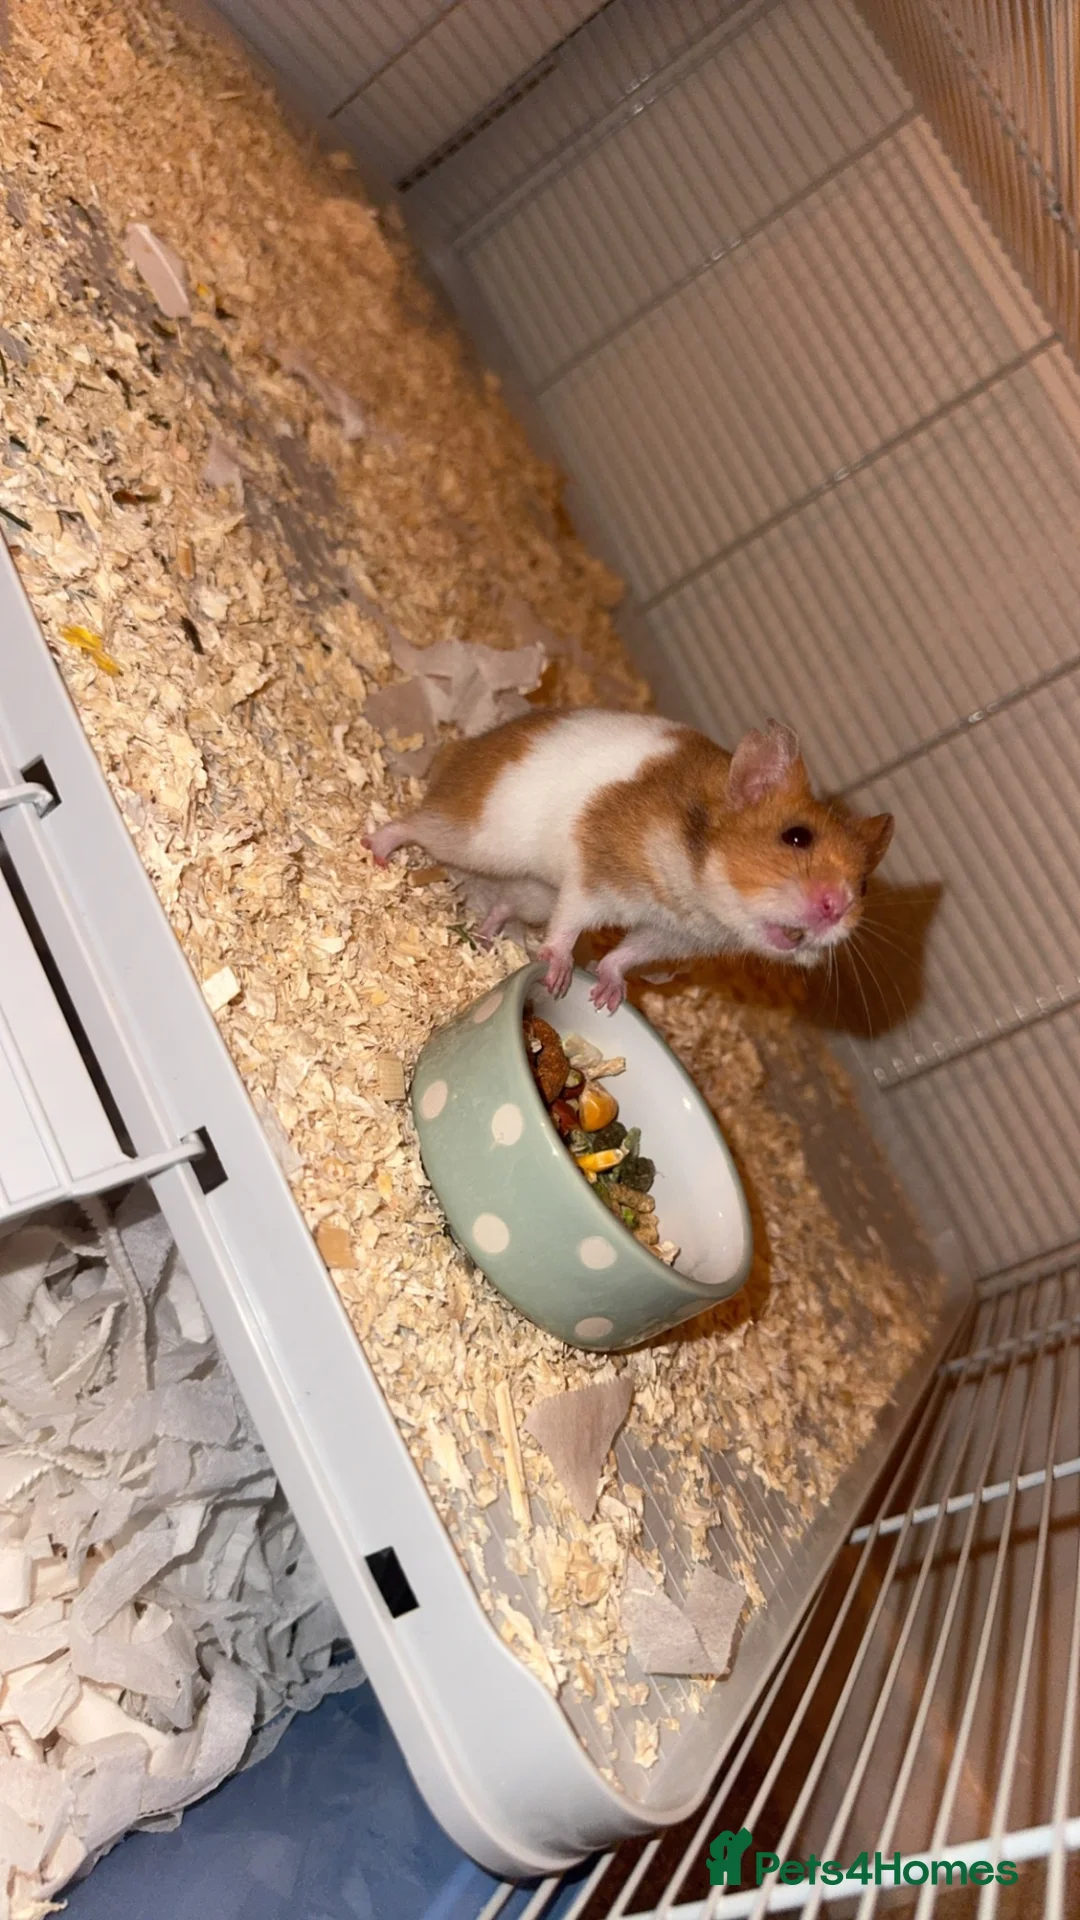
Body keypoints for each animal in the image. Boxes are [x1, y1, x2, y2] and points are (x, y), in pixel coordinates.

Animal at [362, 710, 893, 1012]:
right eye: (796, 837)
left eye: (865, 885)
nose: (837, 909)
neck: (699, 890)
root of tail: (463, 748)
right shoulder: (594, 878)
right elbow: (570, 927)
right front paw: (557, 978)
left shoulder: (670, 936)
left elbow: (626, 955)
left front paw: (606, 998)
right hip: (474, 838)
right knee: (413, 823)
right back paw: (377, 854)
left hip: (533, 891)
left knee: (504, 906)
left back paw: (488, 941)